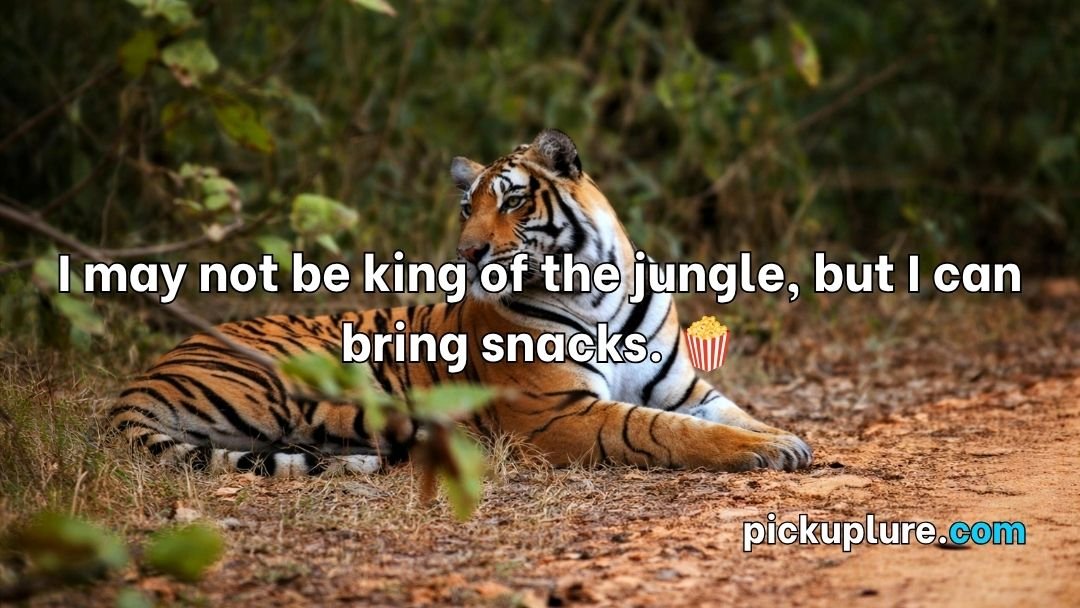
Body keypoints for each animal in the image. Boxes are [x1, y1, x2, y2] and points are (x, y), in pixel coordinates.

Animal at [110, 129, 812, 477]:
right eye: (465, 209)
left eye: (512, 201)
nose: (467, 252)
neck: (594, 289)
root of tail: (143, 377)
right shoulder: (557, 412)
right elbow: (662, 430)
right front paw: (763, 451)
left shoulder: (682, 387)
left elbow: (731, 413)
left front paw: (784, 438)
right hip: (311, 382)